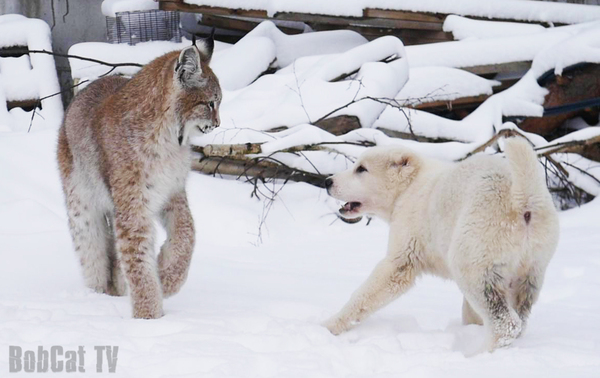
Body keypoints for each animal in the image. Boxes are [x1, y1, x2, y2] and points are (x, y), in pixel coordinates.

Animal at [324, 137, 556, 352]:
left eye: (361, 169)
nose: (327, 181)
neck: (408, 188)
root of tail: (522, 200)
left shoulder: (405, 248)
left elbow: (376, 285)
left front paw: (329, 325)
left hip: (476, 252)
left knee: (506, 323)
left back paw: (478, 354)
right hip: (531, 269)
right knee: (519, 317)